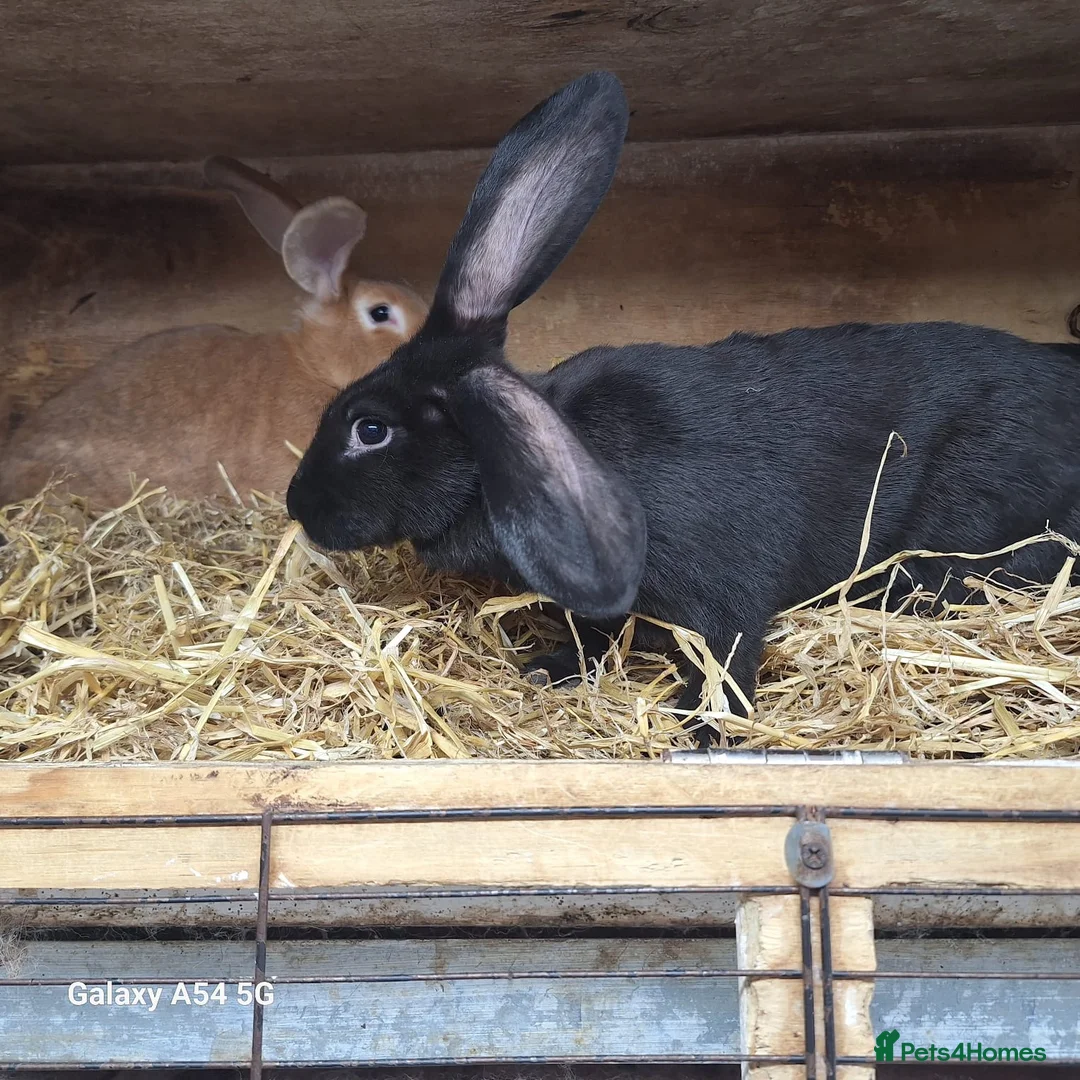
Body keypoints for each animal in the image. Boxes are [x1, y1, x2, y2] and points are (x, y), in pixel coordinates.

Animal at [284, 70, 1080, 747]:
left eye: (371, 428)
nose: (297, 504)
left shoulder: (722, 591)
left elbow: (726, 657)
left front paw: (701, 729)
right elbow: (593, 636)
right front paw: (547, 669)